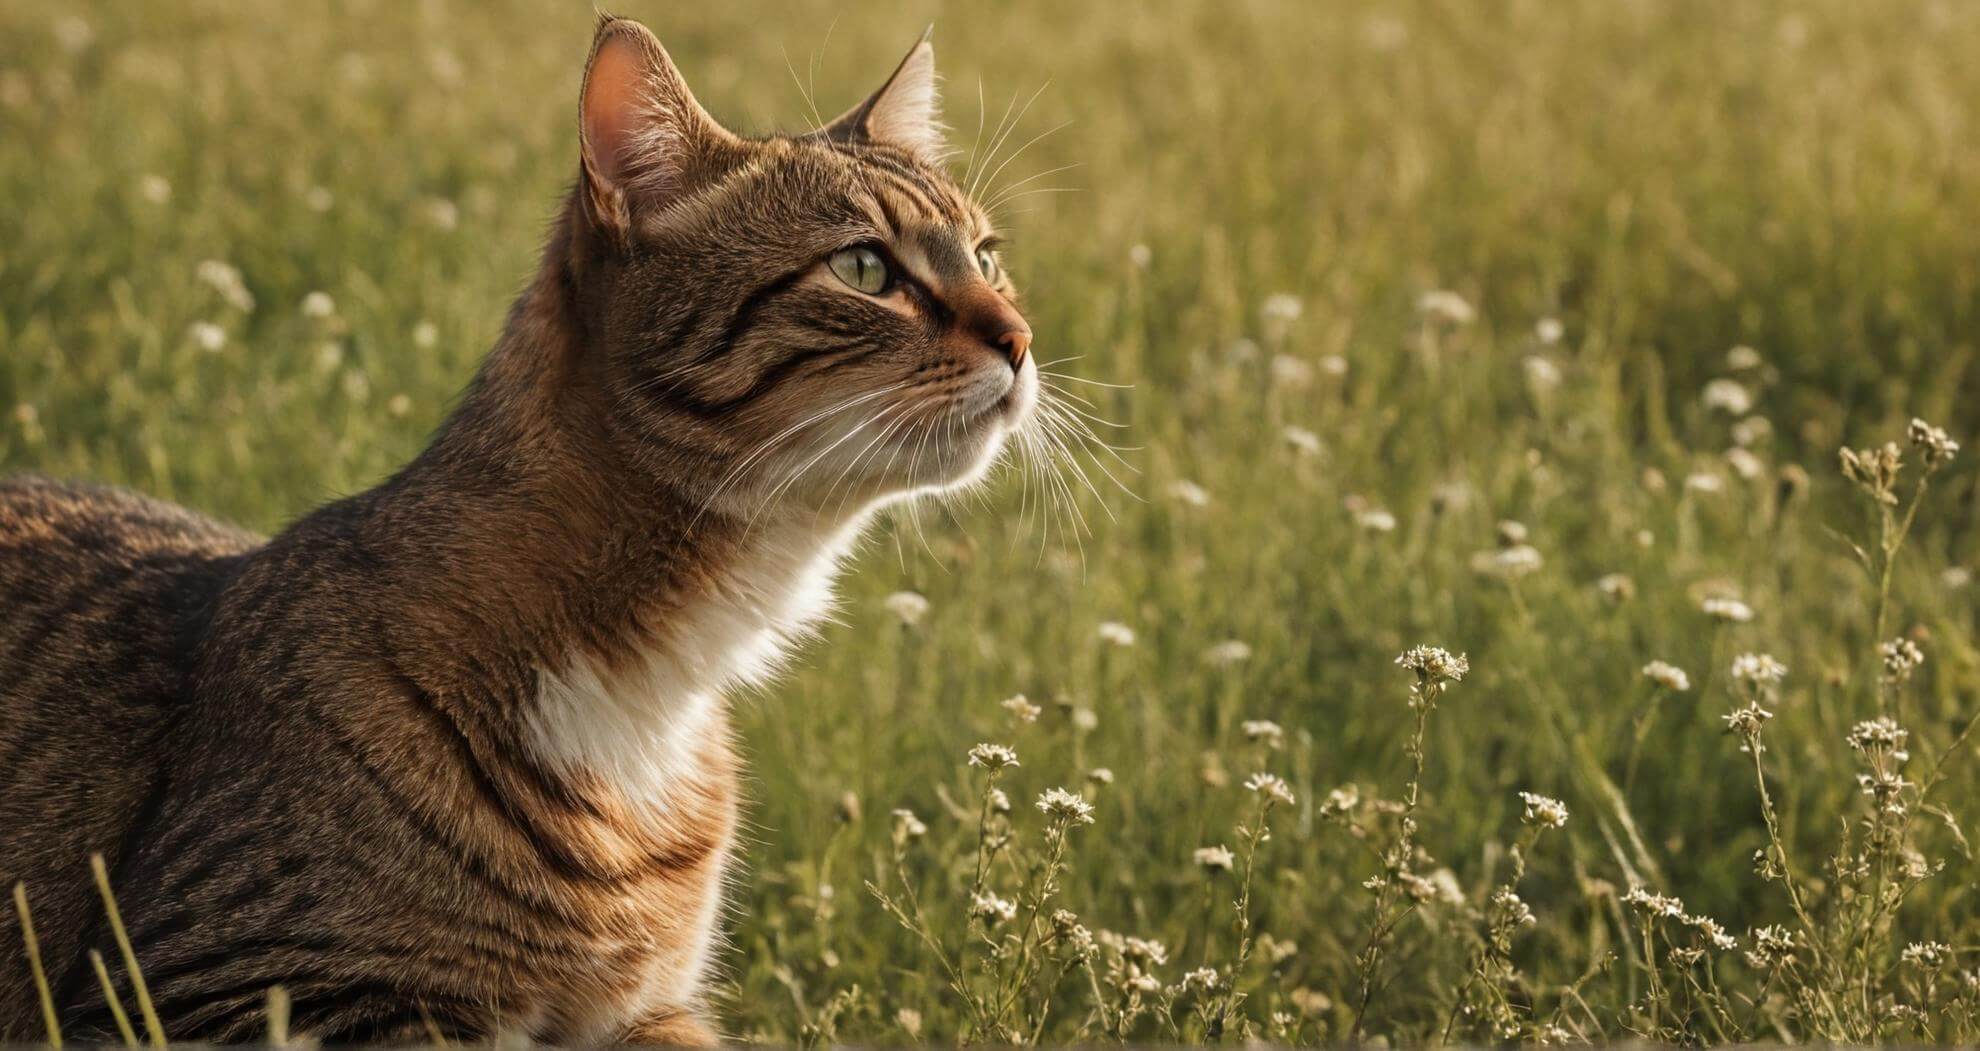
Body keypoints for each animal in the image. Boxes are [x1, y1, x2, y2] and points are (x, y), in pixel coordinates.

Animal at [0, 16, 1045, 1045]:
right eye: (864, 267)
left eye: (989, 256)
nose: (1023, 337)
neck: (654, 688)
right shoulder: (217, 983)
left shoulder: (652, 1007)